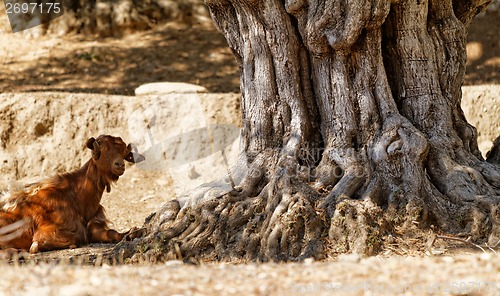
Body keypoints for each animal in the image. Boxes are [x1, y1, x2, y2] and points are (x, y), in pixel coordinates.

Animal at [0, 135, 145, 253]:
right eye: (104, 148)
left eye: (123, 152)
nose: (119, 165)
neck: (77, 196)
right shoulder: (47, 230)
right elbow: (72, 238)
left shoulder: (95, 225)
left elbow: (112, 233)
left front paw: (134, 232)